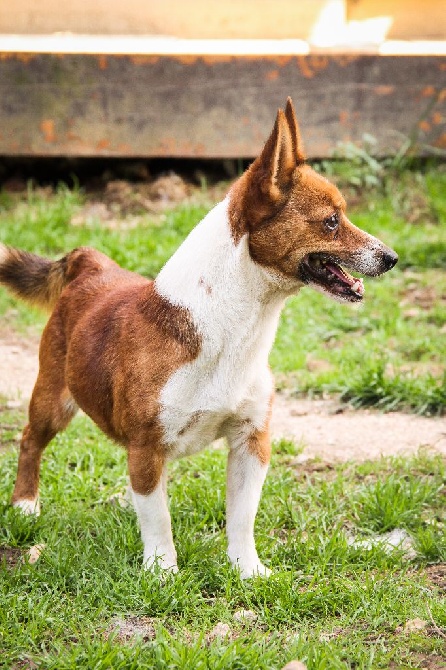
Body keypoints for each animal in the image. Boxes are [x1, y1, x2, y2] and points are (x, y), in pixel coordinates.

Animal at [0, 102, 398, 580]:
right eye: (332, 221)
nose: (392, 258)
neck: (234, 331)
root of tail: (90, 263)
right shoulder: (148, 446)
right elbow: (159, 522)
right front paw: (162, 574)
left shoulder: (251, 441)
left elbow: (241, 518)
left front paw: (248, 571)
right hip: (53, 401)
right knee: (29, 440)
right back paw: (25, 505)